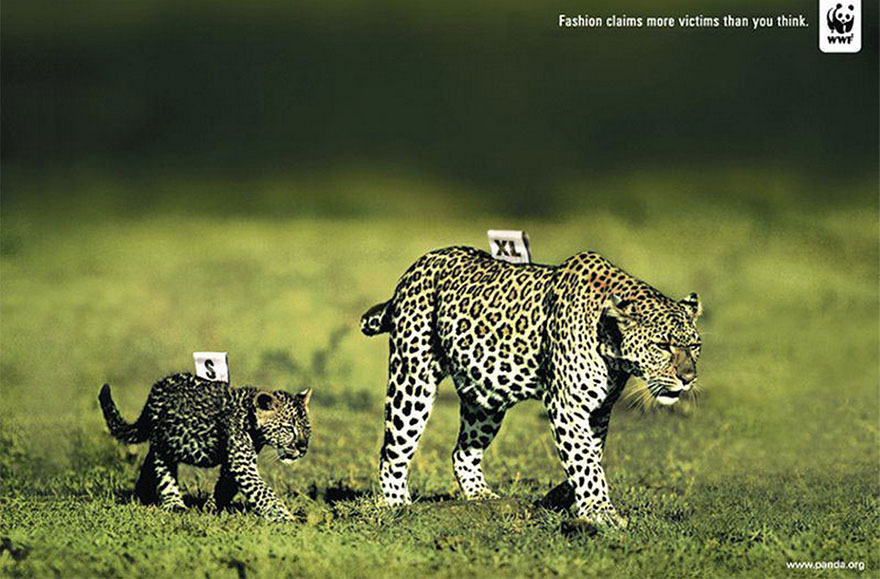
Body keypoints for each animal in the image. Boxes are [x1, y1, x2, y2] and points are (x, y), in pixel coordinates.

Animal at [99, 372, 312, 522]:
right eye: (289, 428)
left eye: (307, 430)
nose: (302, 448)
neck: (250, 418)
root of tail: (156, 388)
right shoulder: (242, 464)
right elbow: (263, 493)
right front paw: (286, 518)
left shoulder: (235, 462)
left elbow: (225, 486)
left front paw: (210, 508)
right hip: (162, 443)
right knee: (163, 469)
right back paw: (174, 503)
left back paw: (141, 494)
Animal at [360, 246, 702, 528]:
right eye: (662, 345)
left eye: (696, 345)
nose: (688, 378)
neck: (612, 347)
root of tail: (417, 265)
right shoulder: (567, 405)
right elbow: (585, 459)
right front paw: (599, 510)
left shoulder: (599, 410)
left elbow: (592, 454)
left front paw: (569, 496)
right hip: (412, 380)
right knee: (393, 452)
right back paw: (398, 505)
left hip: (485, 397)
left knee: (462, 452)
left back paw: (482, 497)